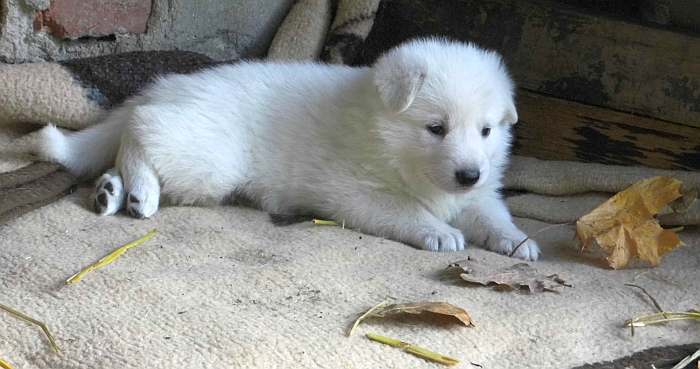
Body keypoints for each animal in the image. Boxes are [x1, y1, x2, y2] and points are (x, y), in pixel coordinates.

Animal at [35, 38, 540, 258]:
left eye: (487, 131)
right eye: (436, 128)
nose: (469, 174)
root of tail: (164, 87)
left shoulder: (479, 194)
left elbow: (492, 213)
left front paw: (517, 241)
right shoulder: (357, 192)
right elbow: (405, 210)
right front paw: (438, 231)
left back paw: (112, 191)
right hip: (208, 157)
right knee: (140, 129)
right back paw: (141, 189)